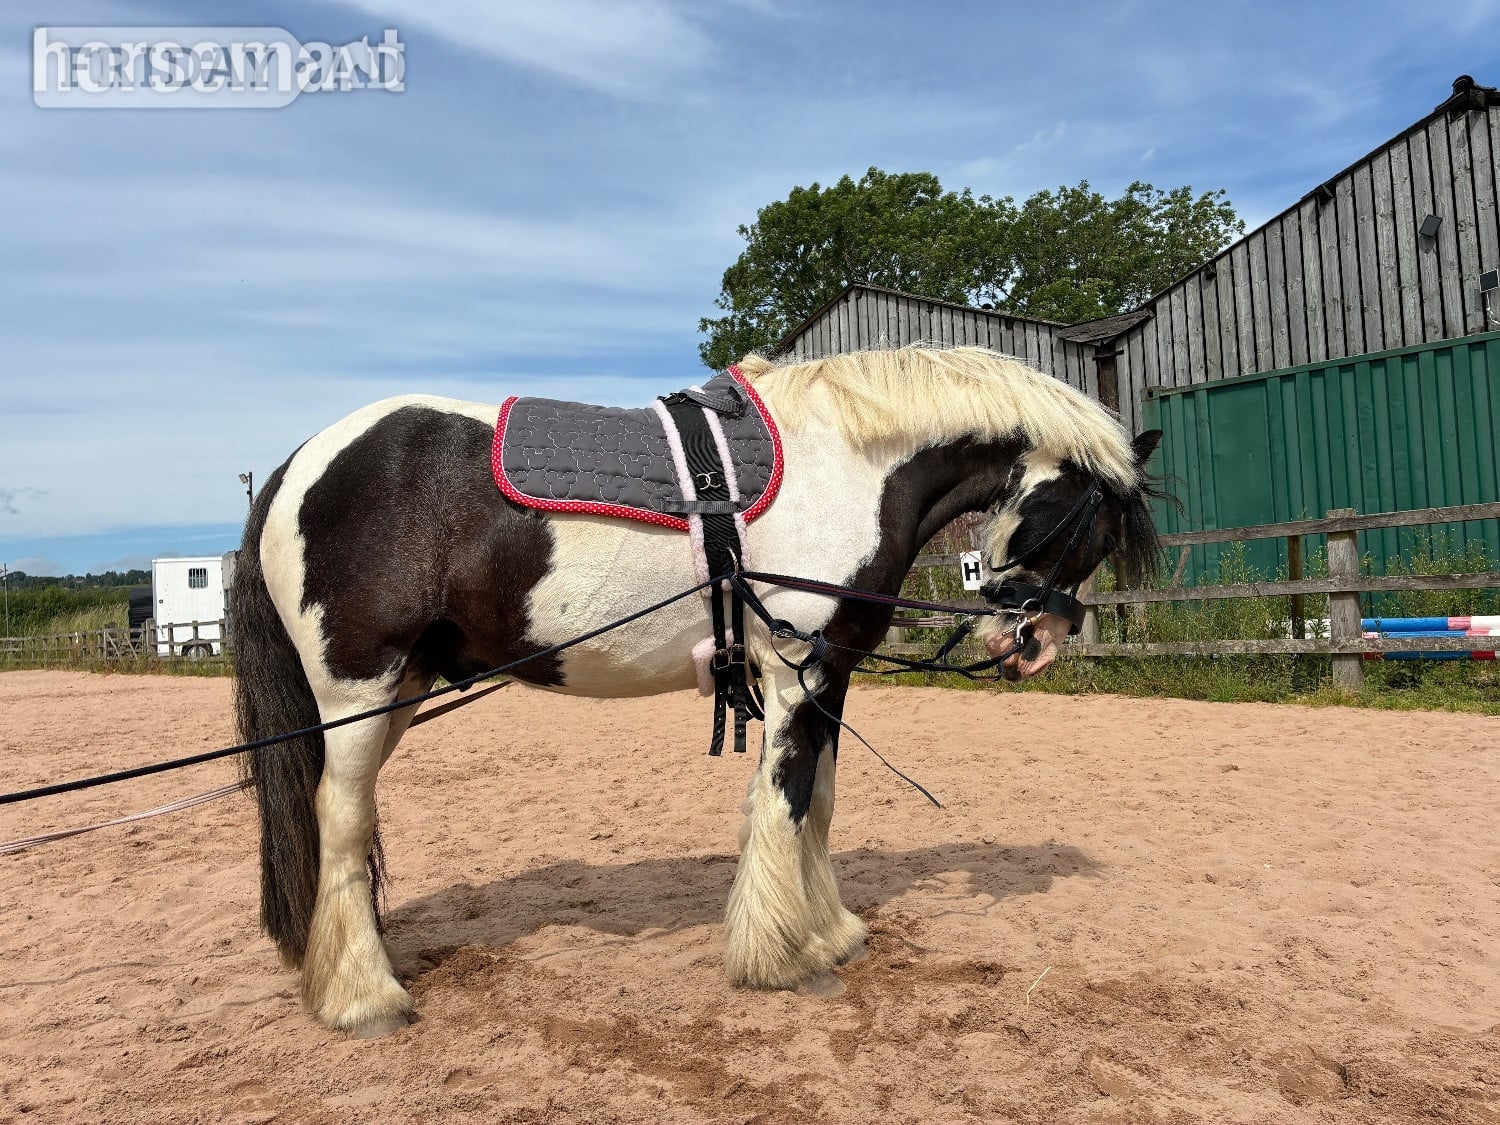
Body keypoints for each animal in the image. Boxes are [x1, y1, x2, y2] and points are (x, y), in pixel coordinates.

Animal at [231, 344, 1162, 1038]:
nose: (1033, 645)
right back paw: (365, 997)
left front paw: (830, 934)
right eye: (1091, 519)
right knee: (342, 817)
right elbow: (786, 799)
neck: (846, 464)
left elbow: (820, 802)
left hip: (401, 690)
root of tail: (295, 467)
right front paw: (783, 959)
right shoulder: (795, 670)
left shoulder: (832, 671)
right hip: (360, 688)